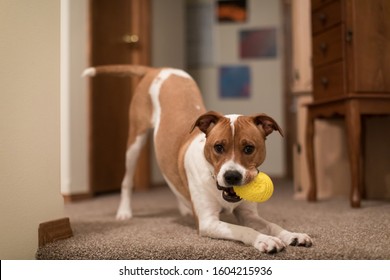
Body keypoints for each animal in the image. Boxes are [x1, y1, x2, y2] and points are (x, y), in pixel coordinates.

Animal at [84, 66, 312, 254]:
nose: (232, 176)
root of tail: (157, 68)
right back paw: (124, 212)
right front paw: (264, 240)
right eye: (218, 147)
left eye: (249, 148)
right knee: (127, 180)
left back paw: (184, 207)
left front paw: (292, 235)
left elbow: (271, 225)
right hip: (134, 141)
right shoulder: (208, 222)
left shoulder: (248, 213)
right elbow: (243, 230)